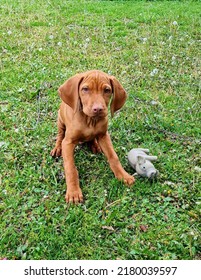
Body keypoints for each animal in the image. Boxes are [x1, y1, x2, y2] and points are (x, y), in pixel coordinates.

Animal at [50, 70, 135, 203]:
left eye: (107, 90)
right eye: (85, 89)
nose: (98, 109)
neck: (89, 120)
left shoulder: (104, 136)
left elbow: (113, 157)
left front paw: (123, 175)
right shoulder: (68, 142)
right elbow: (70, 167)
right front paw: (73, 192)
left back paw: (95, 145)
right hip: (60, 121)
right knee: (60, 136)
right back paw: (57, 148)